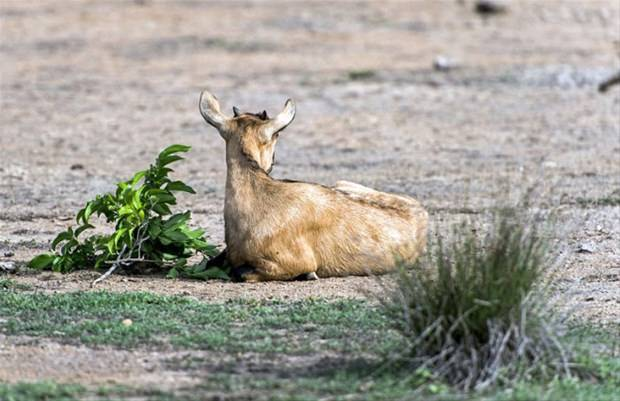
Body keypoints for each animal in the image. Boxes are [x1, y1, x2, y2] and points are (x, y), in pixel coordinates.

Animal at [199, 90, 426, 282]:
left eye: (276, 135)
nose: (271, 164)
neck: (258, 197)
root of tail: (421, 212)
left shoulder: (292, 262)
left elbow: (241, 273)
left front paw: (309, 275)